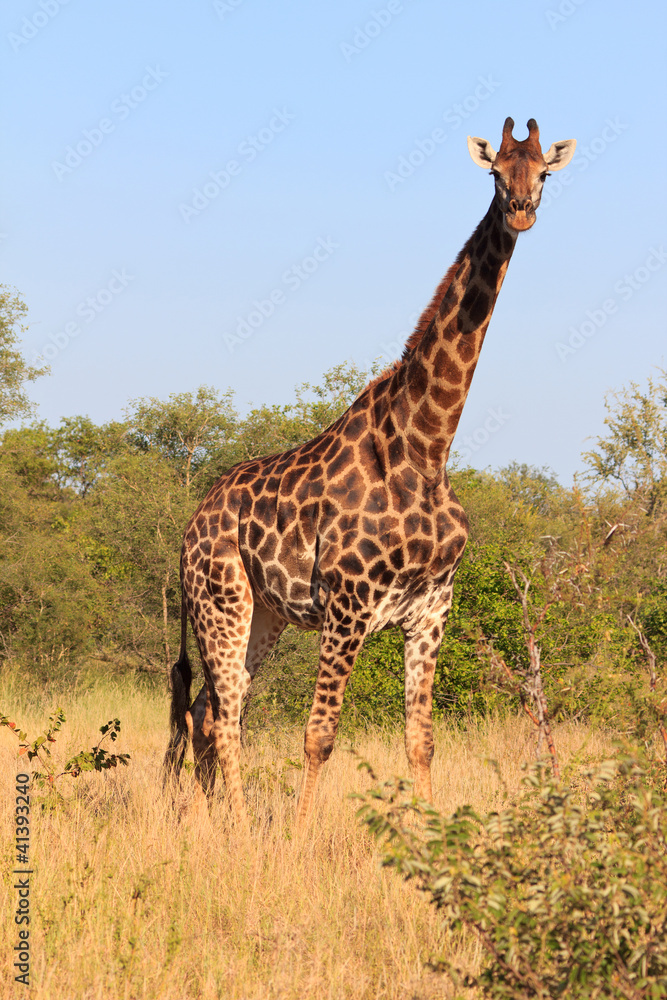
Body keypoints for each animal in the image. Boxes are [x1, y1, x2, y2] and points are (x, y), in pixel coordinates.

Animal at [163, 117, 576, 828]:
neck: (427, 447)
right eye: (496, 171)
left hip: (263, 616)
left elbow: (421, 740)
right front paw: (298, 842)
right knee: (225, 716)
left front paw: (433, 839)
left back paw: (212, 819)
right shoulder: (348, 605)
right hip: (223, 602)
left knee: (209, 710)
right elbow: (319, 736)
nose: (522, 211)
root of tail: (191, 526)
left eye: (543, 172)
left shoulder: (432, 608)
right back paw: (239, 828)